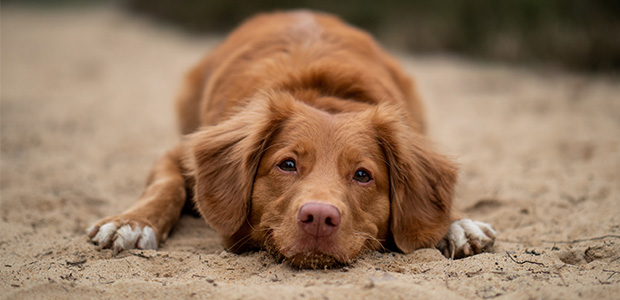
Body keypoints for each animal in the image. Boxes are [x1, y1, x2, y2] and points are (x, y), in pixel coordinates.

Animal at [87, 10, 496, 268]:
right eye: (287, 164)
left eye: (363, 175)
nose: (319, 217)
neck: (322, 95)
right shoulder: (179, 153)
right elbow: (166, 186)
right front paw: (132, 222)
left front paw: (457, 222)